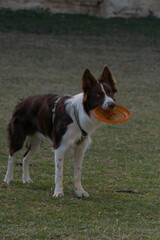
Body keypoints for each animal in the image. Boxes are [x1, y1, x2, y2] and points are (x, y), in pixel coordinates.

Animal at [4, 65, 117, 197]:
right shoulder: (59, 147)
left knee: (25, 157)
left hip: (36, 143)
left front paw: (79, 191)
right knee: (12, 155)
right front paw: (58, 192)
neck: (79, 114)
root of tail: (21, 101)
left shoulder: (80, 149)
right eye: (98, 95)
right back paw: (8, 179)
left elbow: (77, 173)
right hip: (18, 138)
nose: (112, 104)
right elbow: (59, 174)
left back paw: (26, 179)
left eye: (110, 93)